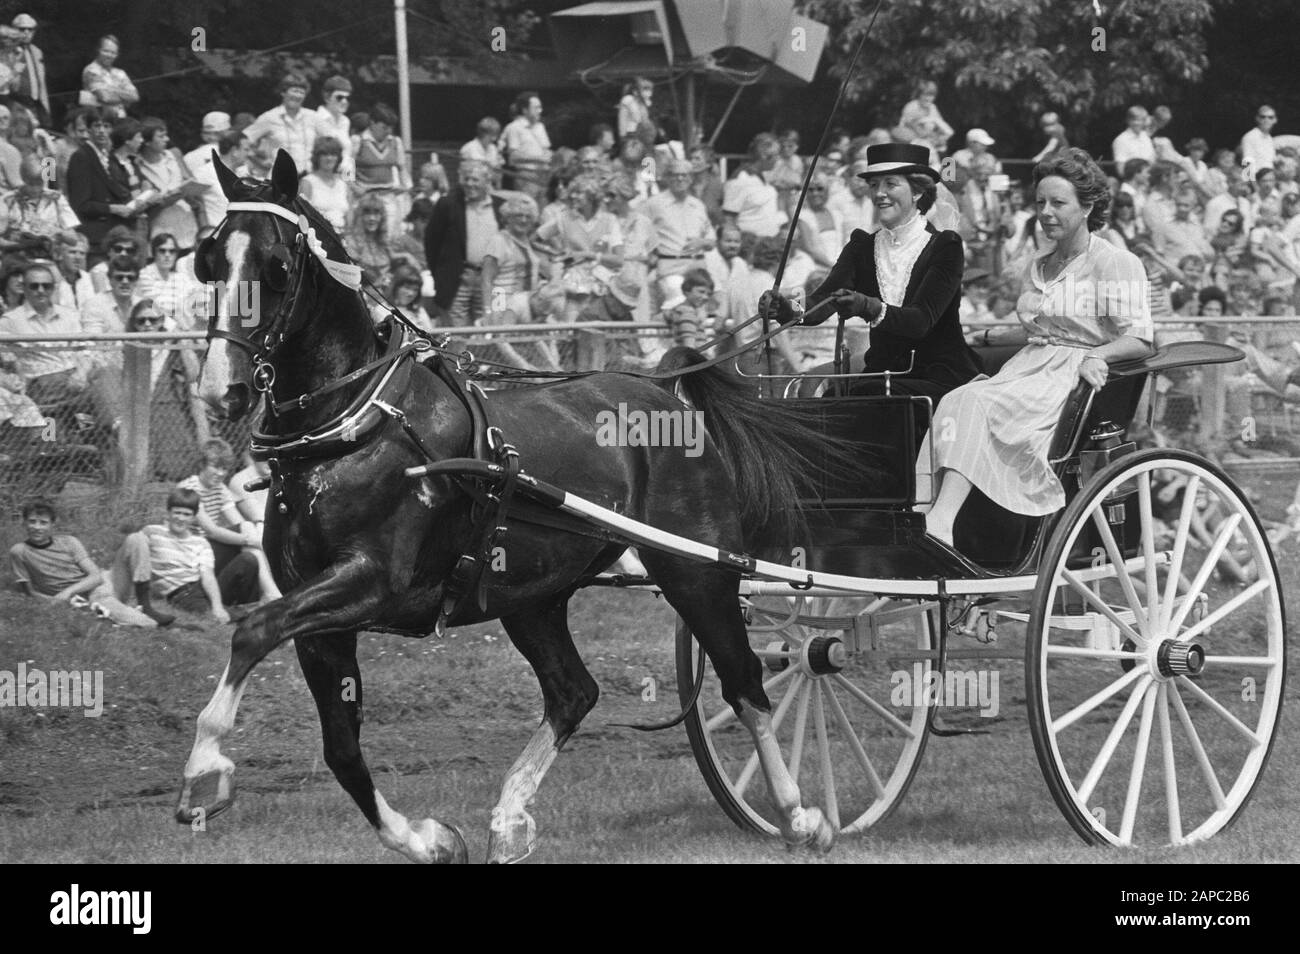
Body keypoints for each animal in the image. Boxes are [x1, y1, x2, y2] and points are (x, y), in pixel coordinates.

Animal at [178, 151, 857, 868]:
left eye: (277, 266)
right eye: (208, 259)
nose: (219, 389)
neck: (352, 427)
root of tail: (664, 388)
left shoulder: (369, 582)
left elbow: (252, 630)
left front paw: (203, 773)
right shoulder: (321, 612)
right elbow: (340, 747)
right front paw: (428, 839)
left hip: (695, 571)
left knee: (745, 680)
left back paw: (799, 815)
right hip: (532, 595)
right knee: (573, 691)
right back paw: (508, 816)